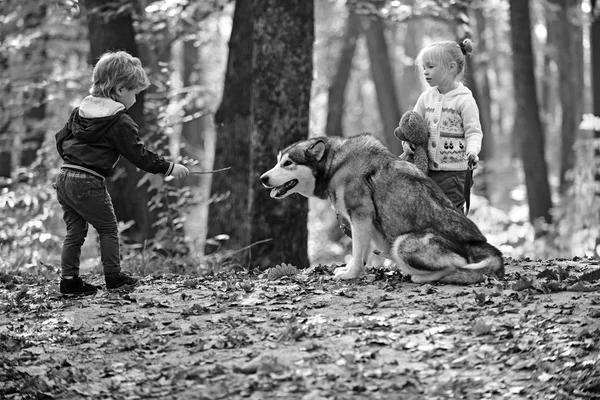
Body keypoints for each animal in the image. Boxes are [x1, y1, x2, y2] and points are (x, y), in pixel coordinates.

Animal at [260, 134, 504, 284]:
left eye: (288, 163)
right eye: (278, 161)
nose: (262, 178)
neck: (335, 164)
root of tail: (478, 243)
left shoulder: (361, 214)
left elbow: (356, 250)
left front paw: (350, 274)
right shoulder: (363, 222)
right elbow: (362, 252)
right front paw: (356, 270)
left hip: (402, 244)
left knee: (456, 267)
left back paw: (421, 277)